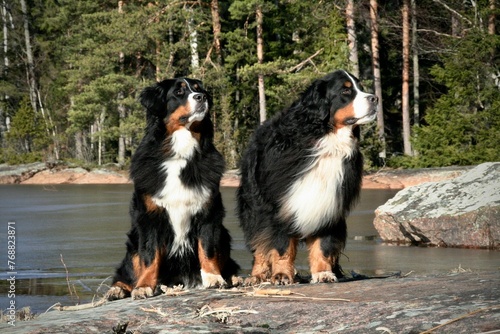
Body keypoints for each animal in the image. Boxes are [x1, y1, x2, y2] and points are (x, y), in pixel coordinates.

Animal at [107, 77, 238, 300]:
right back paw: (117, 289)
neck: (179, 154)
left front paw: (213, 278)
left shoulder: (209, 213)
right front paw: (144, 286)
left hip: (224, 235)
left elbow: (207, 248)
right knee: (127, 270)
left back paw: (234, 277)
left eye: (199, 90)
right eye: (178, 92)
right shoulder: (149, 216)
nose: (201, 98)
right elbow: (149, 256)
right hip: (133, 241)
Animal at [236, 70, 376, 284]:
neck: (324, 140)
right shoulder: (279, 205)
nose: (374, 98)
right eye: (345, 91)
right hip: (253, 207)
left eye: (360, 88)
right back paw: (257, 275)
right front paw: (282, 275)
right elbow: (281, 245)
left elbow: (323, 244)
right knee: (259, 241)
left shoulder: (329, 203)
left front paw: (323, 273)